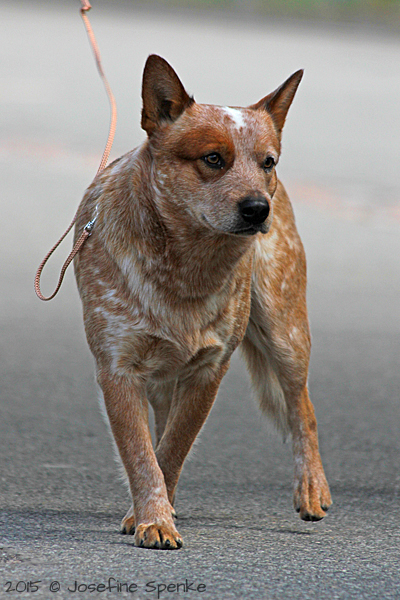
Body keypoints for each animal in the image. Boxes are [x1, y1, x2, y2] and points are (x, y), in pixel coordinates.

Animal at [72, 55, 332, 548]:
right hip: (160, 380)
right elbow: (143, 454)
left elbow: (173, 449)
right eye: (213, 158)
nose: (258, 209)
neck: (186, 269)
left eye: (267, 161)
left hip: (285, 330)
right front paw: (154, 517)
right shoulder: (118, 369)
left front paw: (151, 516)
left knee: (302, 407)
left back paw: (312, 489)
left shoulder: (208, 370)